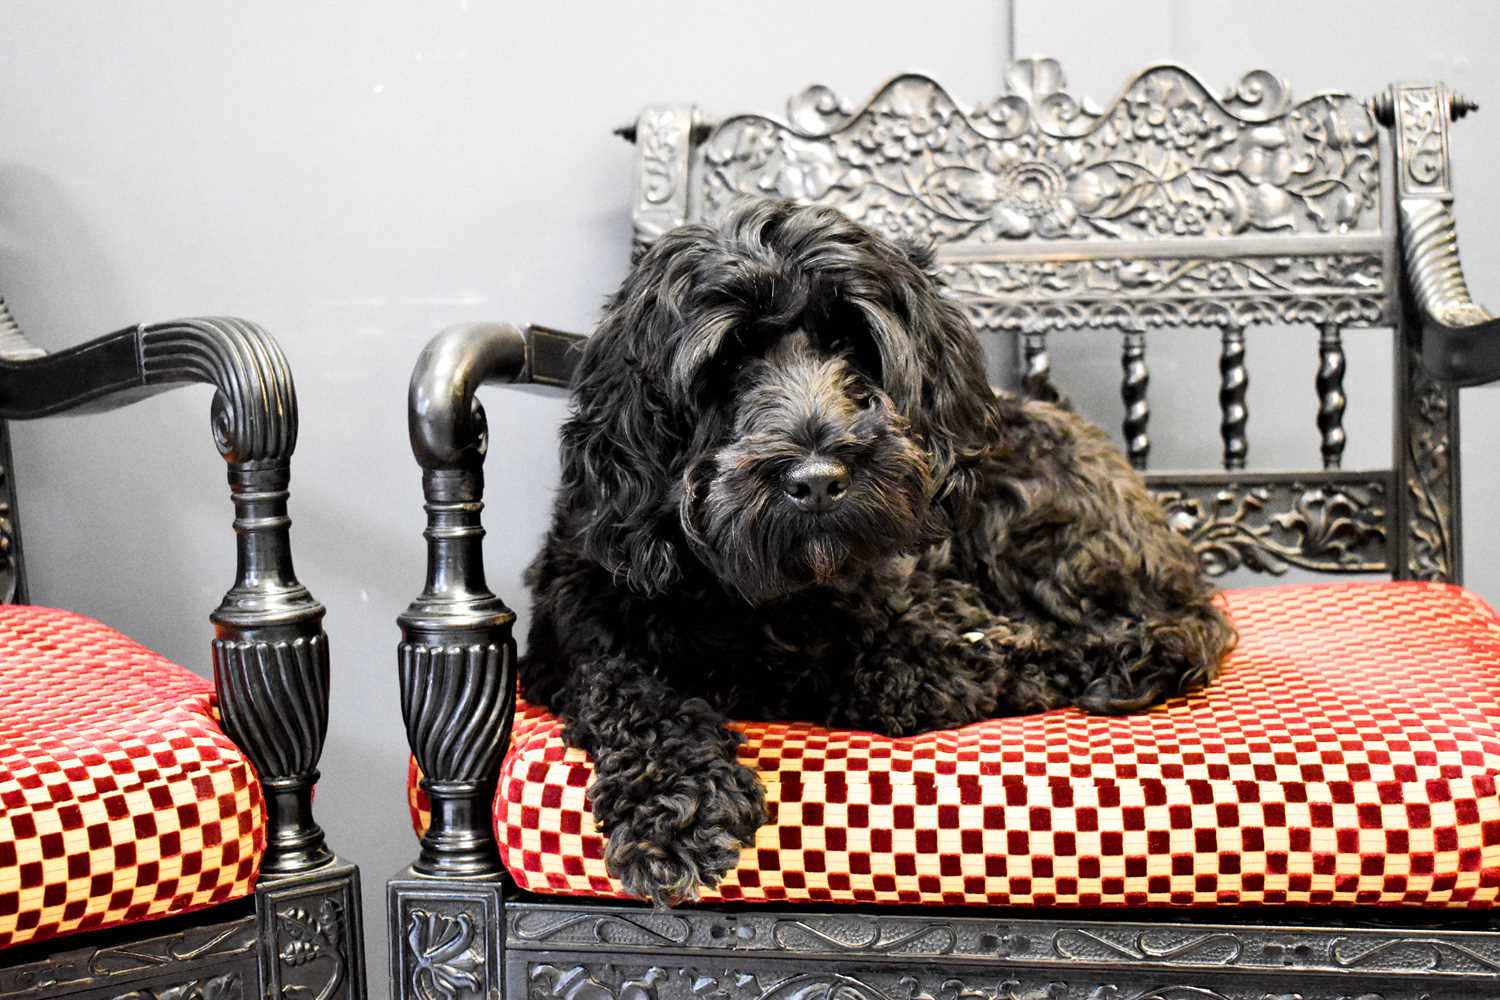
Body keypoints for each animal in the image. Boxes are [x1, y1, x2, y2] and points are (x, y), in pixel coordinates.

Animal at [522, 200, 1236, 905]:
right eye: (726, 363)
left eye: (851, 343)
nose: (816, 480)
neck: (760, 593)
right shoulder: (572, 637)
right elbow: (624, 687)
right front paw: (677, 803)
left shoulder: (939, 618)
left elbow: (898, 672)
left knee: (1170, 626)